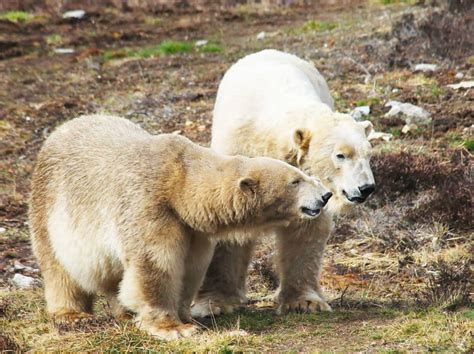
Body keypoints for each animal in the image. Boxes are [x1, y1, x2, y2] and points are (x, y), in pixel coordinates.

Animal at [29, 114, 332, 340]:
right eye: (295, 181)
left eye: (302, 174)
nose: (325, 195)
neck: (179, 182)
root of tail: (58, 130)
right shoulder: (149, 205)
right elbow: (155, 262)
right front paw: (174, 328)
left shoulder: (191, 228)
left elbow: (190, 266)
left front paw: (186, 316)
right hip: (50, 205)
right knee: (59, 267)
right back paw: (71, 314)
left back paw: (124, 312)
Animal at [193, 49, 378, 316]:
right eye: (341, 155)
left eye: (369, 153)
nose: (366, 188)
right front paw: (214, 303)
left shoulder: (307, 191)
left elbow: (305, 231)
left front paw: (305, 301)